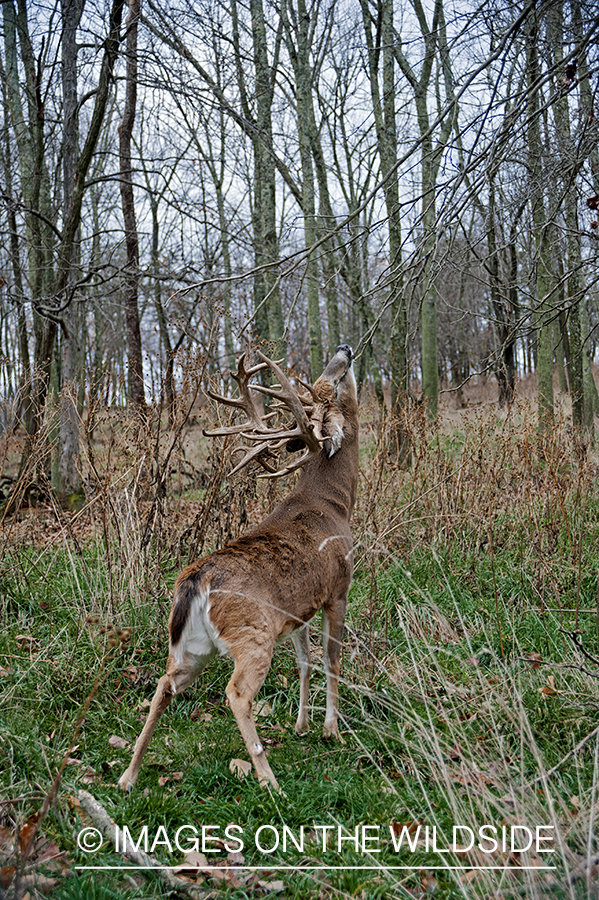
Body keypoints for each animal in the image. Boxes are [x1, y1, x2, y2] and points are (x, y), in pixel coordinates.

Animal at [119, 342, 358, 792]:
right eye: (335, 383)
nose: (344, 349)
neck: (334, 504)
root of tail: (195, 580)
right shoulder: (338, 589)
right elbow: (331, 659)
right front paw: (331, 730)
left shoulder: (297, 611)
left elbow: (304, 661)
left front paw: (301, 726)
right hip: (252, 635)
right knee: (238, 693)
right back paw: (268, 778)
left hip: (194, 645)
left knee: (164, 683)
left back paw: (129, 774)